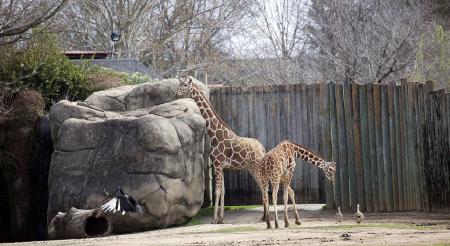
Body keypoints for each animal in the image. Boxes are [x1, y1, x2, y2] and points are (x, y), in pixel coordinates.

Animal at [176, 76, 268, 224]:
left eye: (185, 85)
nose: (176, 94)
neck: (215, 135)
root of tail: (262, 148)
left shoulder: (217, 165)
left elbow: (217, 191)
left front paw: (214, 219)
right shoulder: (221, 167)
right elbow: (223, 191)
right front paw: (221, 218)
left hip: (256, 166)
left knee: (264, 185)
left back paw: (267, 217)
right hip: (251, 168)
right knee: (262, 185)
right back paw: (264, 216)